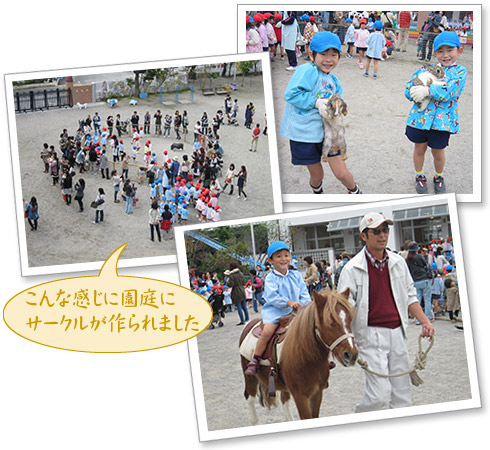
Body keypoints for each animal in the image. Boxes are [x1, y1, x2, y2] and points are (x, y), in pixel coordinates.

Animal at [239, 288, 358, 422]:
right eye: (331, 322)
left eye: (350, 319)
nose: (351, 355)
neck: (307, 357)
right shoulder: (300, 396)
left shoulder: (317, 393)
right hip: (250, 378)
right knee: (250, 399)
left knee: (284, 401)